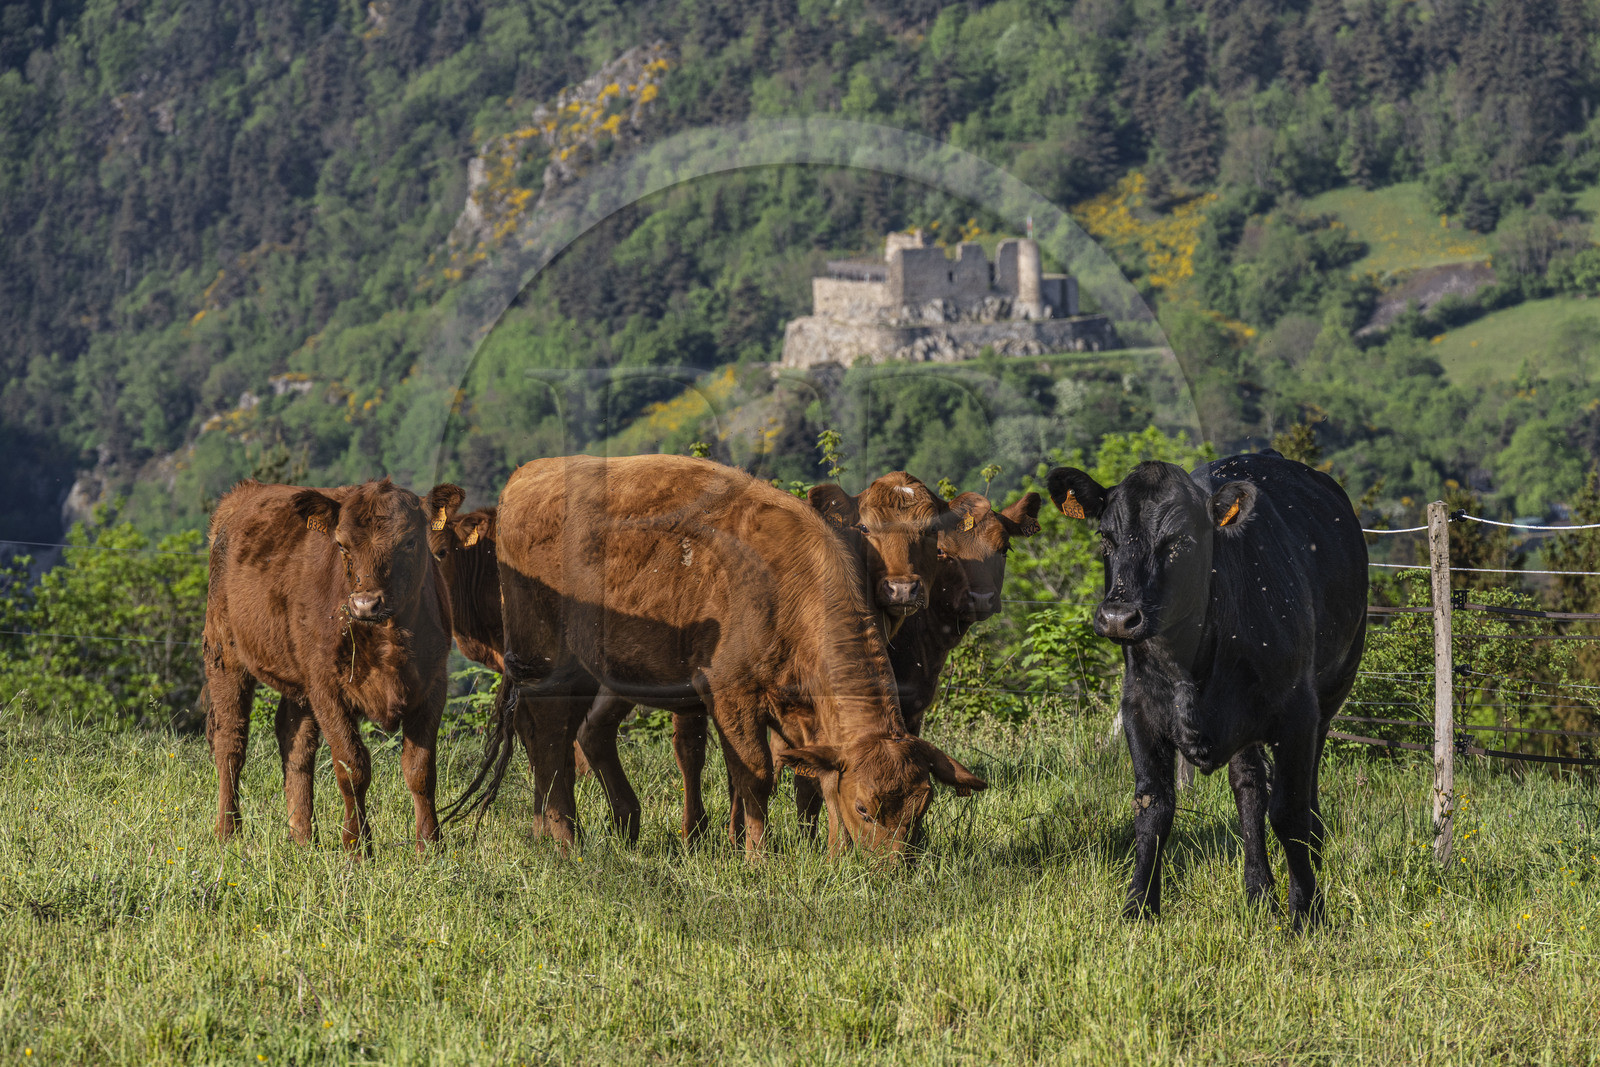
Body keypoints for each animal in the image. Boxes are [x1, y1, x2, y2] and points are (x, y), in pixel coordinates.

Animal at [203, 479, 453, 854]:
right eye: (341, 544)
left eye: (410, 541)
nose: (365, 603)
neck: (388, 634)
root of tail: (243, 493)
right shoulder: (328, 690)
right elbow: (352, 767)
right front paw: (357, 847)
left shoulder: (433, 684)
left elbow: (420, 769)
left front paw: (430, 845)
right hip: (224, 653)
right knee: (230, 743)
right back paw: (228, 832)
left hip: (300, 678)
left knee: (295, 744)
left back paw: (302, 837)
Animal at [444, 454, 986, 856]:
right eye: (867, 810)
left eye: (920, 810)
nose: (893, 868)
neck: (792, 586)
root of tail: (527, 476)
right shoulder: (732, 693)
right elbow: (756, 775)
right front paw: (756, 857)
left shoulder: (803, 710)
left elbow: (816, 778)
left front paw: (831, 855)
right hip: (547, 661)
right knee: (549, 731)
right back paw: (563, 838)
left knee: (570, 733)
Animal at [1045, 450, 1367, 925]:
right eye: (1105, 538)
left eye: (1179, 541)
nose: (1119, 617)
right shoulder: (1139, 709)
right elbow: (1153, 807)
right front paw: (1138, 907)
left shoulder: (1297, 713)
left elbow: (1289, 812)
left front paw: (1307, 913)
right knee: (1249, 790)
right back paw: (1258, 892)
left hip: (1330, 694)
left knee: (1304, 793)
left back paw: (1312, 861)